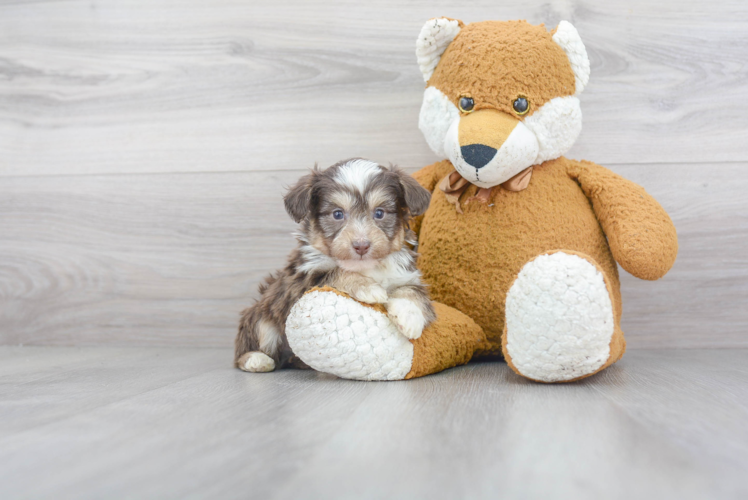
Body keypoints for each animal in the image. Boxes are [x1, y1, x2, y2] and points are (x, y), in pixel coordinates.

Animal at [232, 158, 432, 374]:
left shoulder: (406, 274)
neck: (366, 267)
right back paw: (256, 359)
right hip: (262, 314)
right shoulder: (299, 282)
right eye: (337, 214)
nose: (361, 245)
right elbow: (336, 272)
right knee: (249, 344)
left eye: (379, 213)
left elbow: (413, 292)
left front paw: (410, 317)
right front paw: (368, 288)